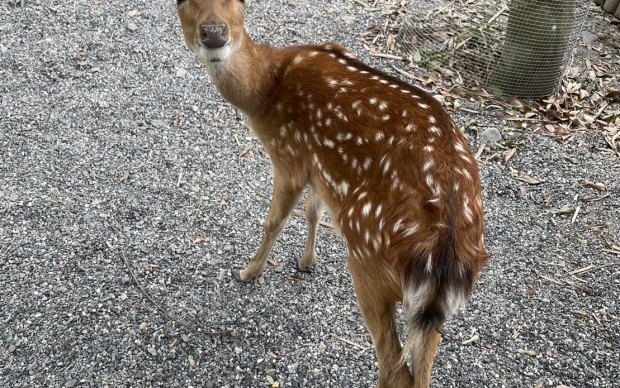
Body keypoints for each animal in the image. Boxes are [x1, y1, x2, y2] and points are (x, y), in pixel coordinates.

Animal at [176, 1, 490, 386]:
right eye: (183, 3)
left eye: (240, 4)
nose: (214, 34)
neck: (266, 87)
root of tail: (447, 242)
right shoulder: (321, 169)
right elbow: (313, 210)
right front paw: (306, 262)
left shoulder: (289, 155)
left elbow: (275, 221)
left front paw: (249, 272)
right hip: (435, 305)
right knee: (420, 372)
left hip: (368, 259)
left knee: (393, 366)